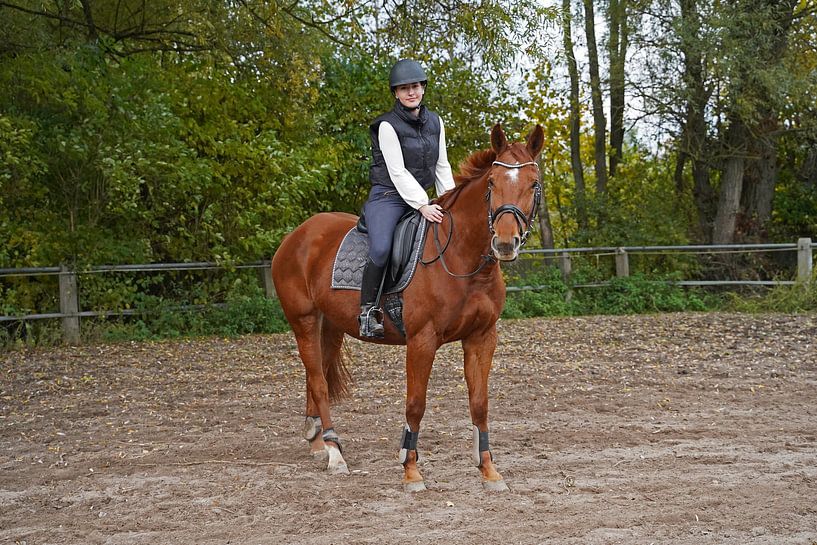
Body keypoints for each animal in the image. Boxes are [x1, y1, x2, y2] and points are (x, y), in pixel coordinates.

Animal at [271, 123, 544, 491]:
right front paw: (411, 470)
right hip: (303, 320)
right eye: (491, 183)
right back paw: (334, 453)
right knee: (318, 380)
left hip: (330, 326)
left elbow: (480, 404)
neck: (460, 257)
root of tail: (297, 235)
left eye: (533, 184)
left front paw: (488, 470)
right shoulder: (421, 340)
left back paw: (318, 442)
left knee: (318, 376)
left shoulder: (482, 338)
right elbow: (415, 404)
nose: (504, 243)